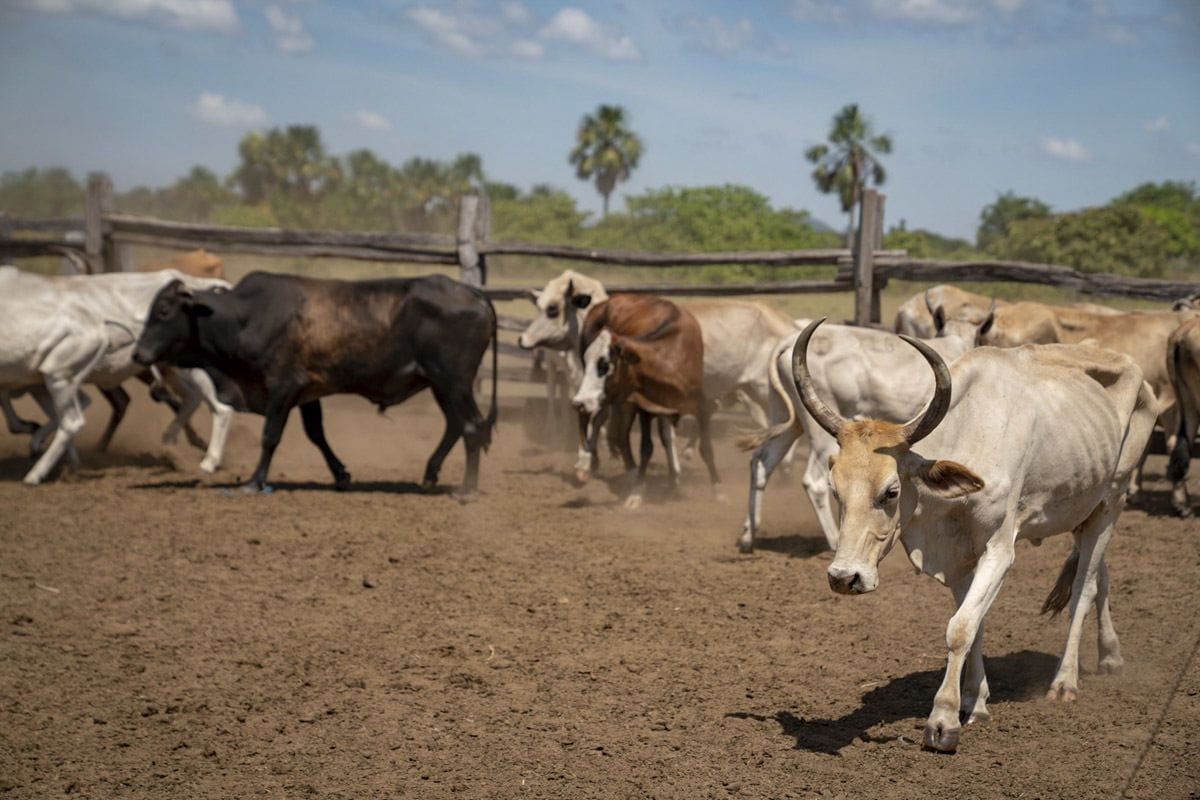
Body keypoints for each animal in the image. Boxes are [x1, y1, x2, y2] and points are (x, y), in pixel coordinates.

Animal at [0, 266, 232, 484]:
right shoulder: (34, 382)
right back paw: (169, 445)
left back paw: (208, 461)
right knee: (191, 398)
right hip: (169, 369)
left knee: (219, 408)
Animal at [133, 272, 499, 491]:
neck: (247, 317)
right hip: (440, 384)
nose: (138, 353)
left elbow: (270, 436)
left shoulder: (282, 387)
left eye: (164, 311)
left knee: (472, 426)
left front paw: (254, 481)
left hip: (453, 380)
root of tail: (473, 293)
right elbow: (316, 434)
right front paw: (341, 475)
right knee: (456, 425)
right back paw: (430, 474)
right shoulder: (308, 392)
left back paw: (466, 489)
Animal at [734, 321, 979, 554]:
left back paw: (748, 537)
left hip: (787, 419)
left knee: (761, 462)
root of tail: (788, 341)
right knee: (814, 482)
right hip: (820, 435)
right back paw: (834, 541)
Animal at [792, 316, 1156, 753]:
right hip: (1081, 511)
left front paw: (943, 721)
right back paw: (1110, 655)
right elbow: (975, 622)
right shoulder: (957, 559)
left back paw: (1064, 681)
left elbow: (960, 627)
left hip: (1111, 502)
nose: (844, 578)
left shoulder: (999, 550)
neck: (971, 435)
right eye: (836, 490)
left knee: (1084, 588)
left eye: (891, 491)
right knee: (1101, 576)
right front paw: (975, 700)